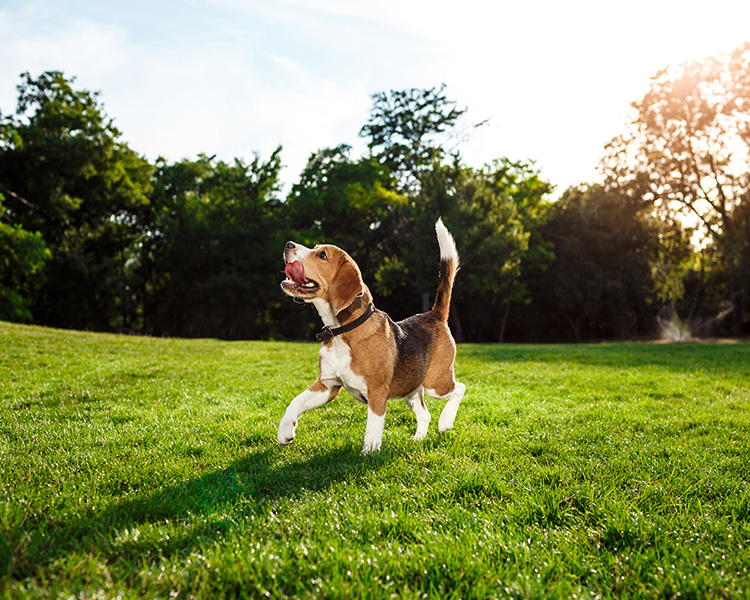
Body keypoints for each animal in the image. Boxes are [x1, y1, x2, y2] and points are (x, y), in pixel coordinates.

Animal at [278, 218, 464, 452]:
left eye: (322, 255)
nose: (288, 244)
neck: (343, 331)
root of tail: (434, 314)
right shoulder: (327, 385)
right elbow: (295, 401)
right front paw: (285, 431)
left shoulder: (376, 392)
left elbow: (373, 428)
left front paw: (369, 454)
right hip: (411, 389)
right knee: (425, 415)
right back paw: (418, 439)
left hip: (436, 384)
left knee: (460, 389)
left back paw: (445, 422)